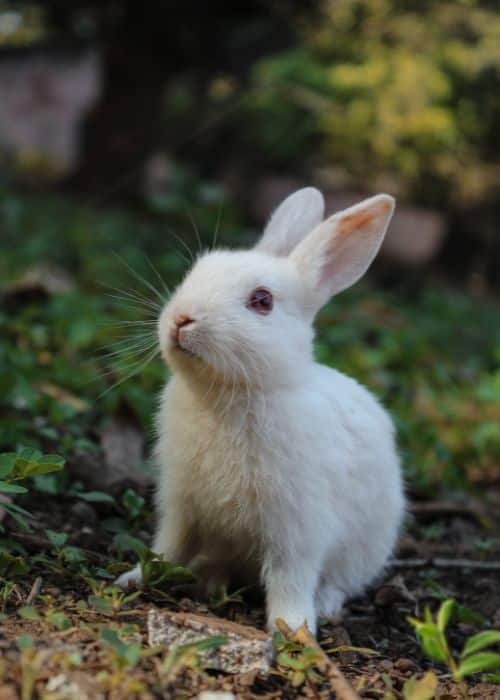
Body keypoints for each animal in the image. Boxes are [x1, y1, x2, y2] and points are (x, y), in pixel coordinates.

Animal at [116, 187, 405, 635]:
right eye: (195, 272)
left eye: (262, 301)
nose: (182, 319)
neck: (230, 394)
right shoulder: (181, 504)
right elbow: (167, 547)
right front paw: (133, 578)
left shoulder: (297, 527)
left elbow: (290, 577)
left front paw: (293, 628)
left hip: (364, 548)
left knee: (339, 582)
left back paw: (324, 606)